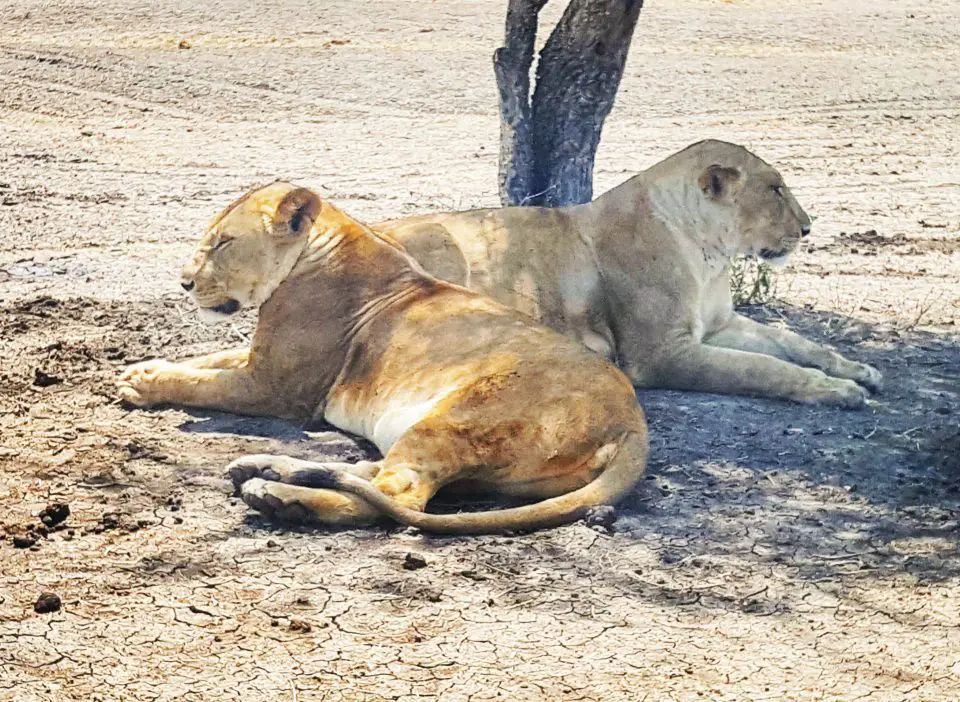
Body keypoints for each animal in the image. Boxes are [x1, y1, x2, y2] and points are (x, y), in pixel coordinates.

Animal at [118, 182, 644, 532]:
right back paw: (269, 468)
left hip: (458, 418)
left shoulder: (275, 387)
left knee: (399, 495)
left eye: (224, 243)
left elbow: (204, 383)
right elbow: (208, 358)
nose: (184, 283)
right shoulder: (259, 357)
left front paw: (142, 384)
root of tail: (632, 420)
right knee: (377, 475)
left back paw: (279, 496)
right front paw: (142, 368)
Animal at [374, 139, 876, 408]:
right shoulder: (660, 353)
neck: (711, 256)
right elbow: (762, 368)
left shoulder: (720, 325)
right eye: (774, 189)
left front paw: (858, 369)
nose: (807, 228)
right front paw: (836, 390)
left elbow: (796, 343)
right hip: (442, 243)